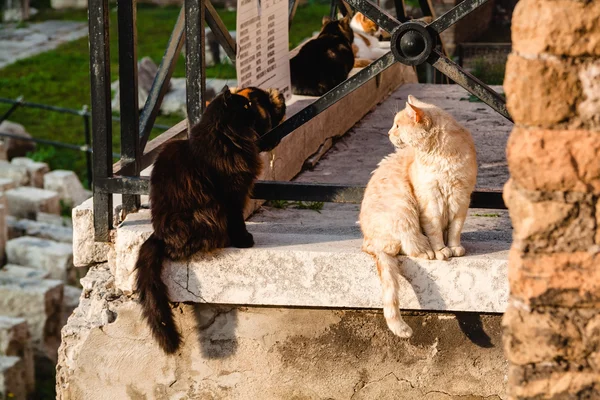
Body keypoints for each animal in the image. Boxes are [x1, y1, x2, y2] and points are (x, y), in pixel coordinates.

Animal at [136, 85, 286, 354]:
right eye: (248, 106)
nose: (277, 93)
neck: (225, 138)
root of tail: (158, 236)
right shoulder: (232, 193)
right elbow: (238, 220)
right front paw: (244, 240)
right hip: (207, 212)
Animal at [358, 96, 476, 338]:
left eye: (398, 125)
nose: (388, 133)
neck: (441, 157)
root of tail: (367, 242)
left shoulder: (461, 199)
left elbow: (455, 229)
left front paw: (454, 247)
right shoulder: (429, 201)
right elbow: (435, 231)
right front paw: (441, 250)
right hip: (404, 210)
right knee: (407, 246)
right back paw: (427, 251)